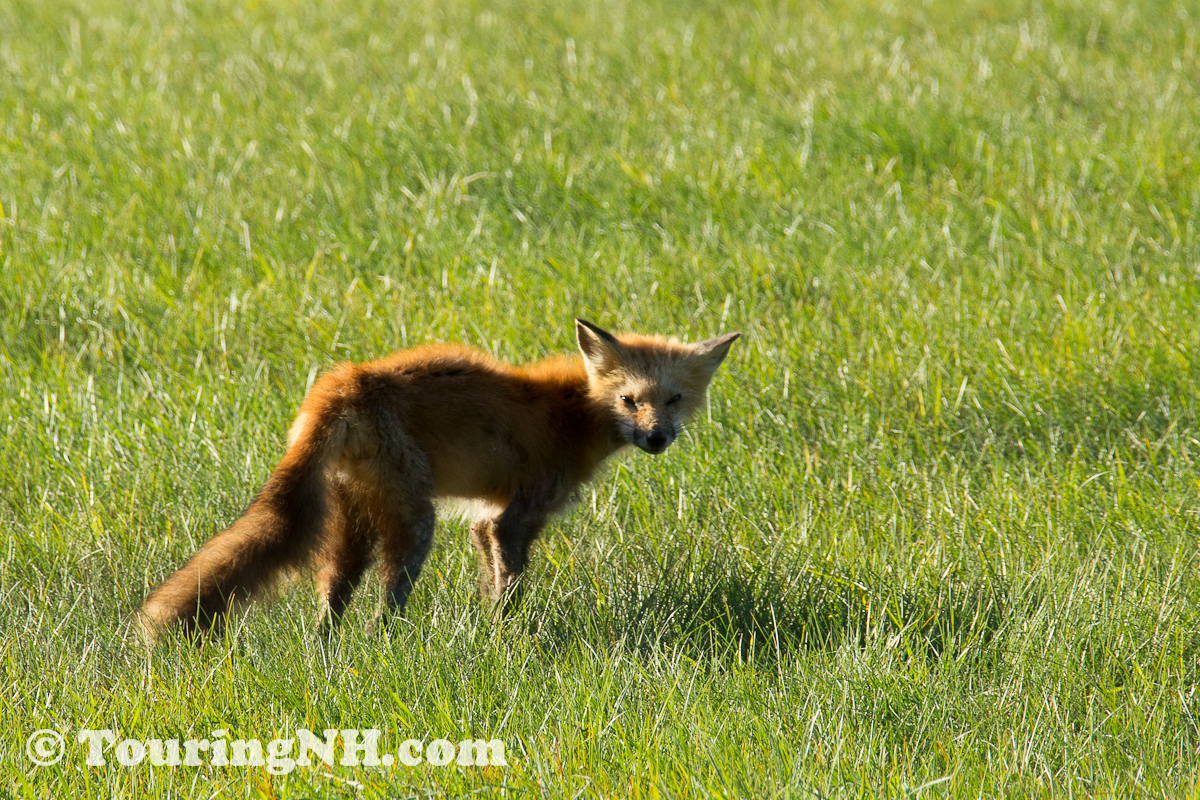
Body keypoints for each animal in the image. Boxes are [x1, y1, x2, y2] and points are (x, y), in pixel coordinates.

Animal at [137, 319, 739, 643]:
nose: (657, 438)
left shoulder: (484, 521)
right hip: (413, 522)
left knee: (331, 600)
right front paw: (506, 639)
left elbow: (490, 582)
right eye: (630, 400)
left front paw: (492, 631)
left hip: (352, 524)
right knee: (384, 606)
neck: (575, 411)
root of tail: (344, 382)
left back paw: (327, 653)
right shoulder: (515, 518)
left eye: (673, 399)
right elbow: (507, 590)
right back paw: (386, 649)